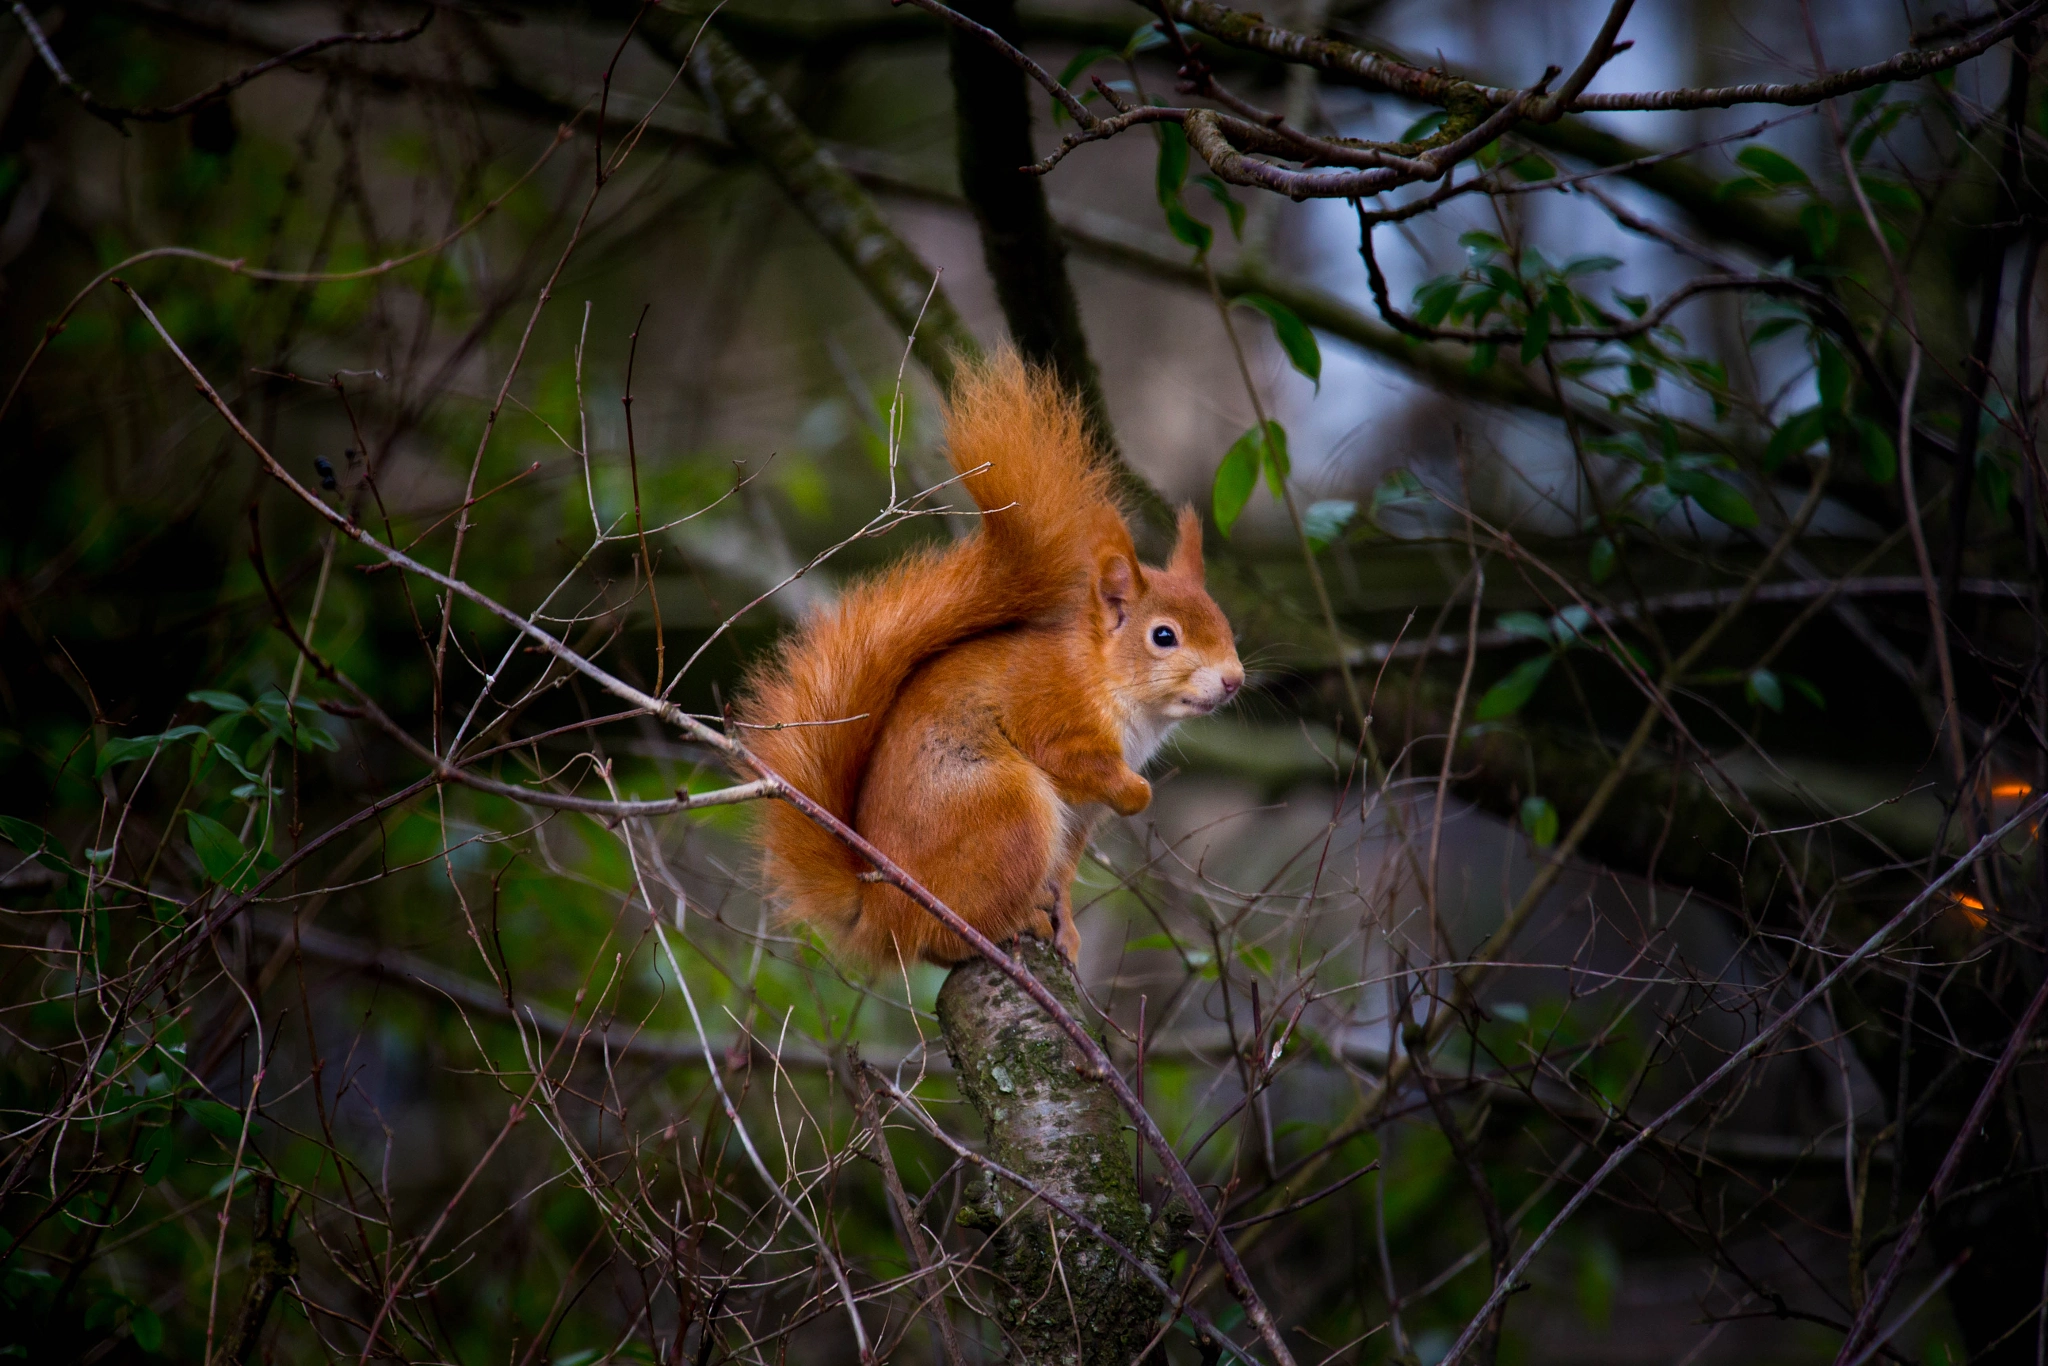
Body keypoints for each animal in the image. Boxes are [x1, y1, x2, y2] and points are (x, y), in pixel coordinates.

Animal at [741, 358, 1236, 966]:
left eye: (1227, 626)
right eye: (1163, 636)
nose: (1234, 680)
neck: (1105, 679)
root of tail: (884, 911)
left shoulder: (1083, 820)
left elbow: (1065, 879)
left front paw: (1070, 930)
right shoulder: (1051, 708)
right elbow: (1069, 758)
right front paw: (1137, 794)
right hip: (1005, 809)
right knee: (947, 938)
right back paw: (1007, 922)